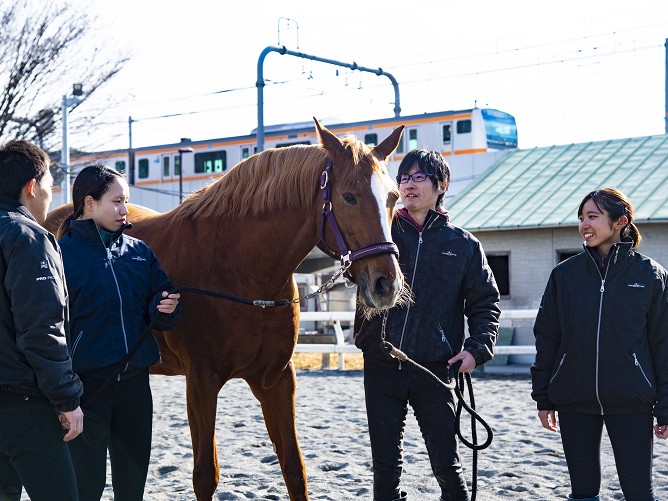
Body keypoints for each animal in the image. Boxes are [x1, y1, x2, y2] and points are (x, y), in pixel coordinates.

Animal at [45, 119, 408, 498]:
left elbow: (294, 468)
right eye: (349, 197)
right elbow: (206, 474)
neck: (241, 272)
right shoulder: (201, 381)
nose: (387, 284)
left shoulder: (277, 379)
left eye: (393, 198)